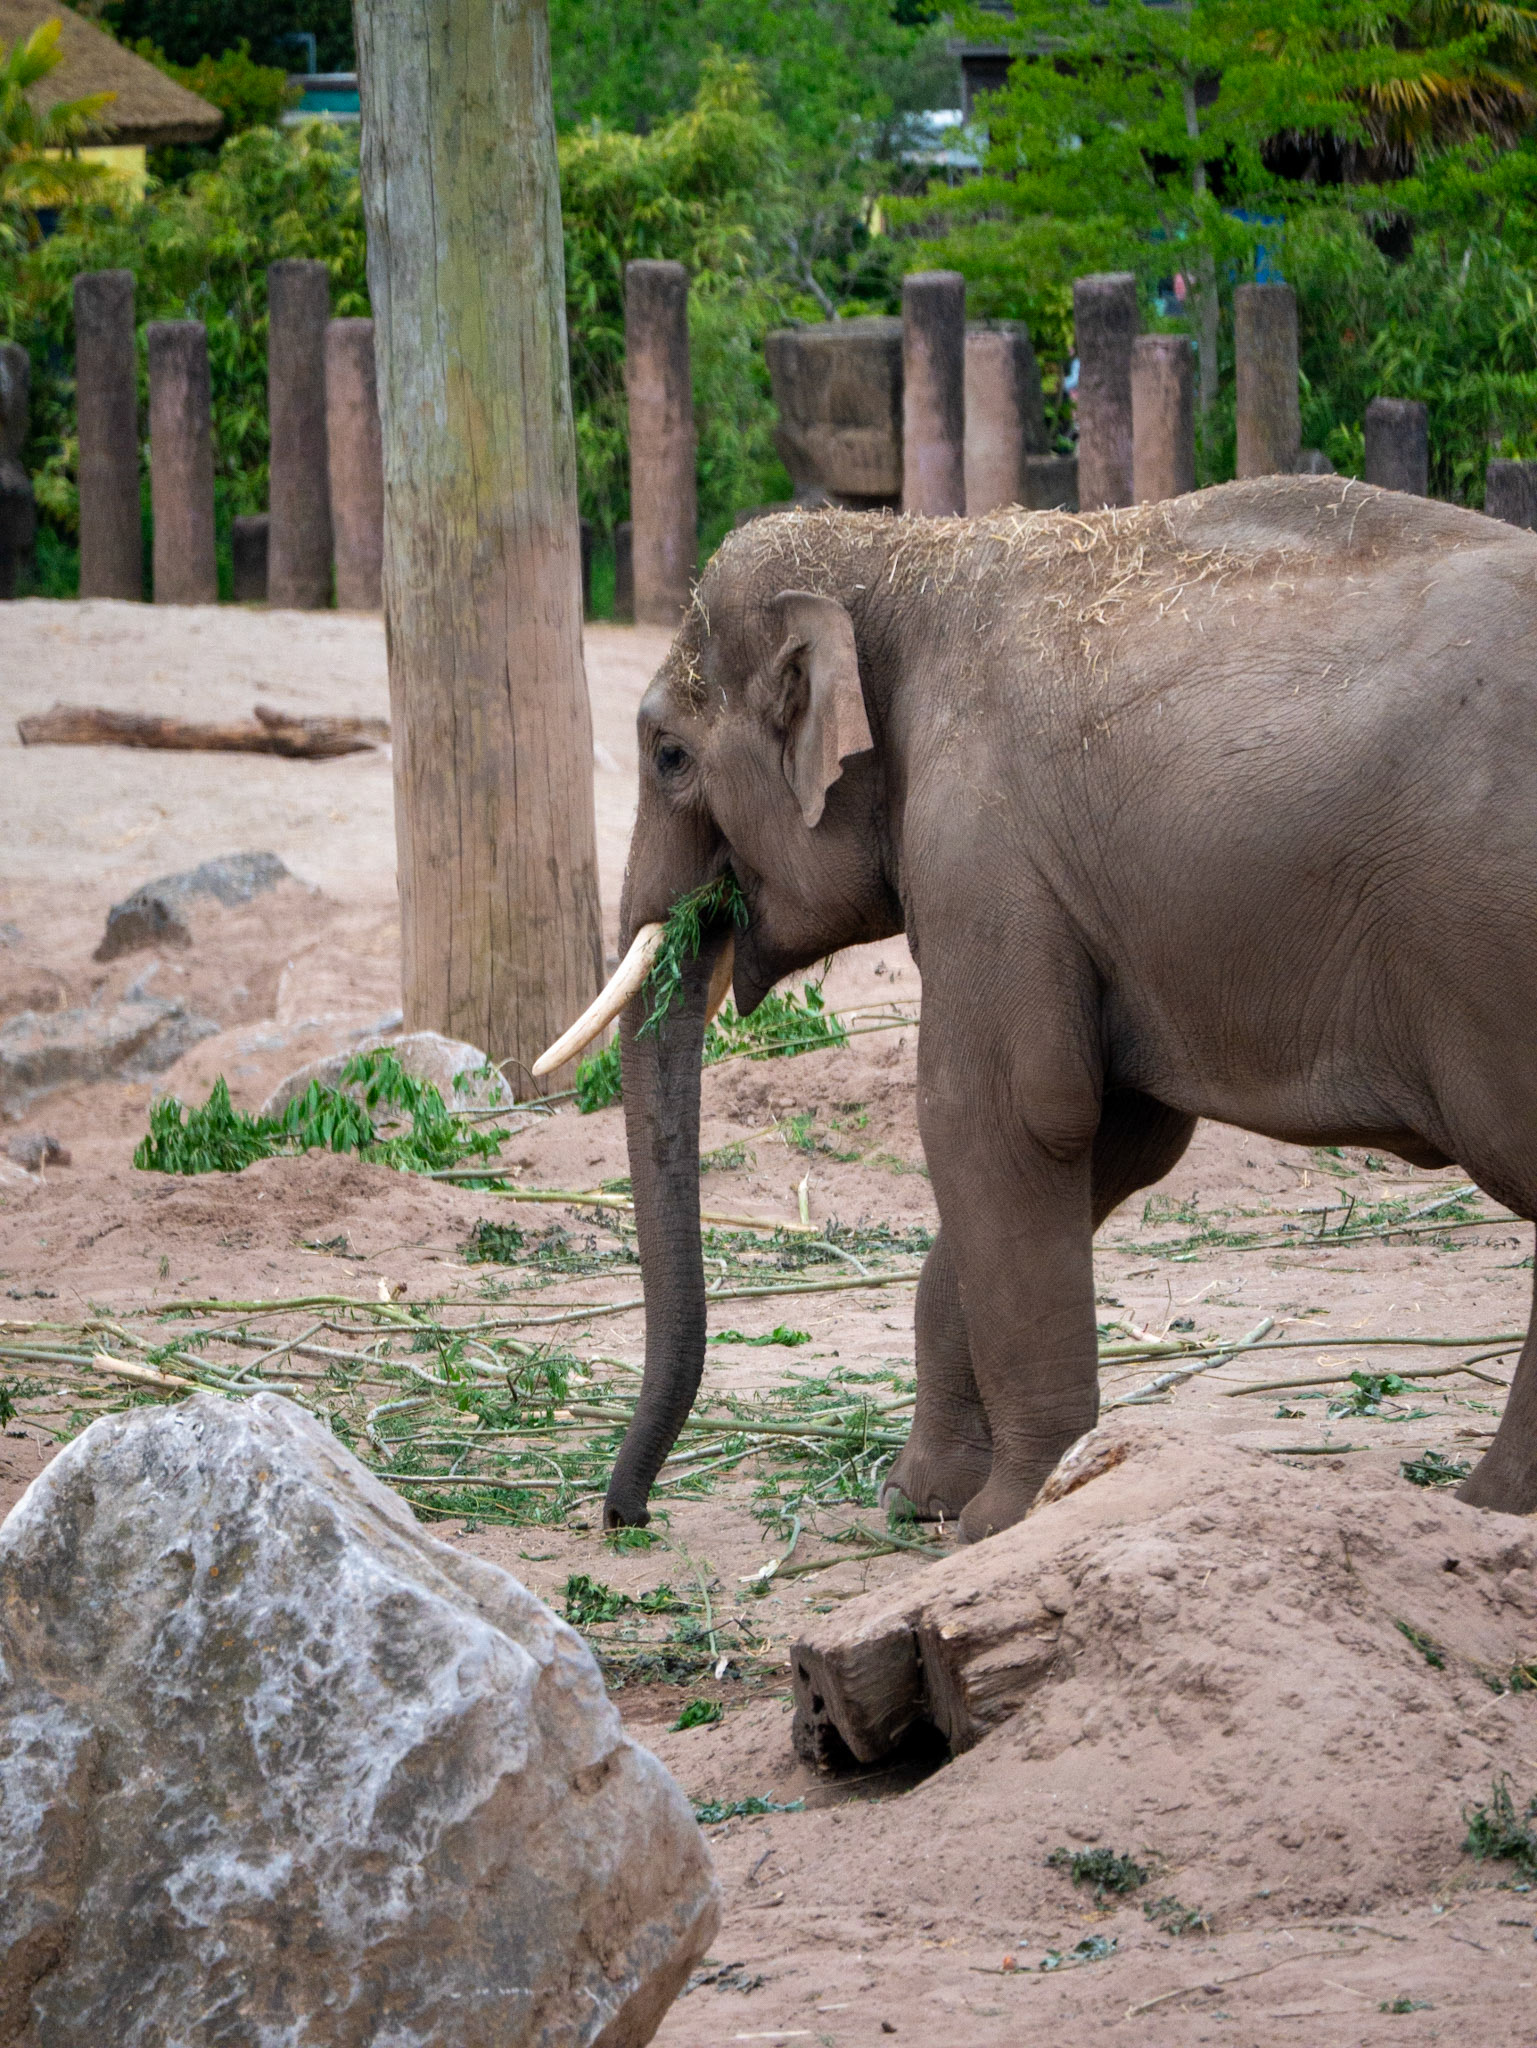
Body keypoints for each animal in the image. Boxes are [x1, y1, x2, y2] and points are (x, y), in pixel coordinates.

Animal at [540, 474, 1537, 1542]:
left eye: (668, 755)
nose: (627, 1515)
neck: (901, 559)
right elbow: (1117, 1135)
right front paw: (917, 1502)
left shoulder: (984, 853)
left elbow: (999, 1117)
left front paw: (1001, 1522)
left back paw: (1481, 1509)